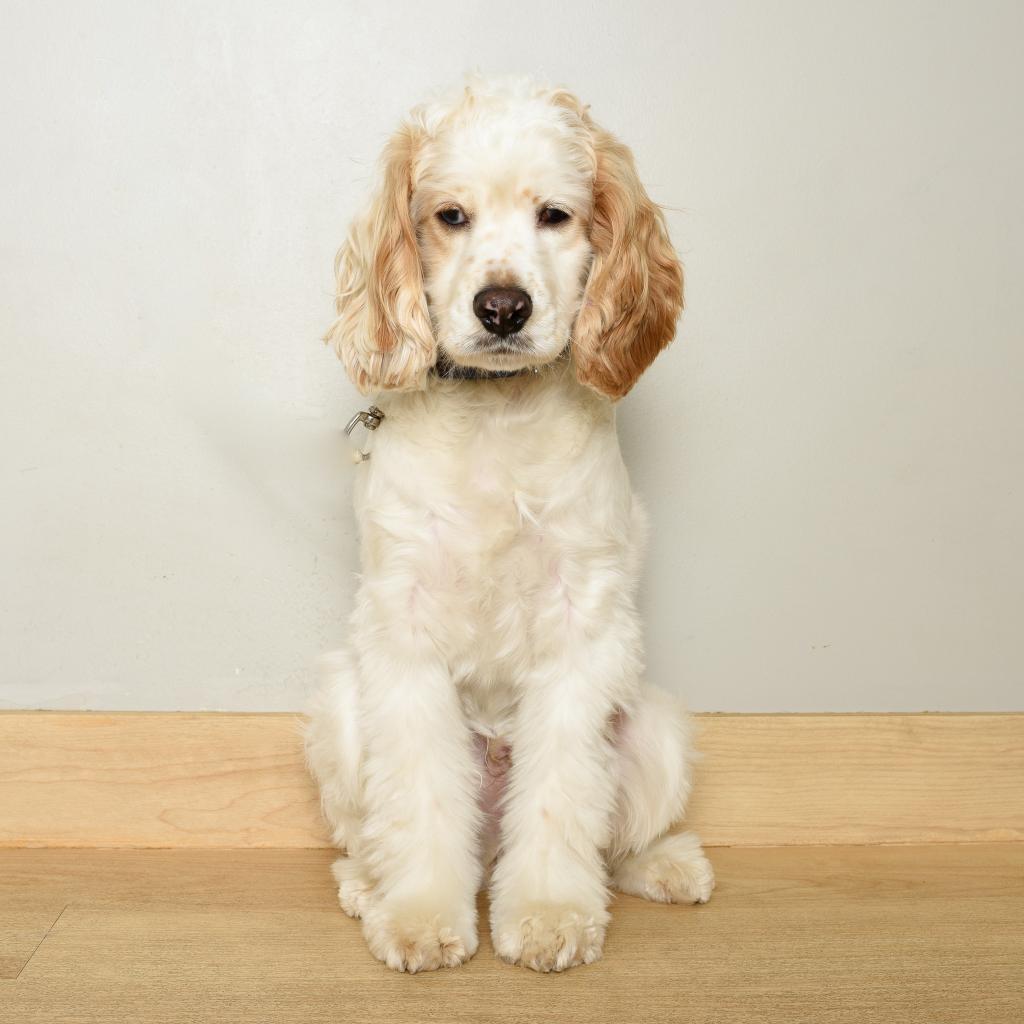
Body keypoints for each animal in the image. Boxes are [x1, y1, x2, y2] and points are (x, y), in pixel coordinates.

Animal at [305, 75, 712, 970]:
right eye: (449, 215)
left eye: (555, 215)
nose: (502, 309)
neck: (495, 416)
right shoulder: (405, 632)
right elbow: (419, 795)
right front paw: (421, 916)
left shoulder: (581, 627)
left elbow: (562, 795)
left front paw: (552, 915)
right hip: (340, 706)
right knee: (369, 833)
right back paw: (367, 887)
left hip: (657, 726)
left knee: (615, 841)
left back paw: (667, 865)